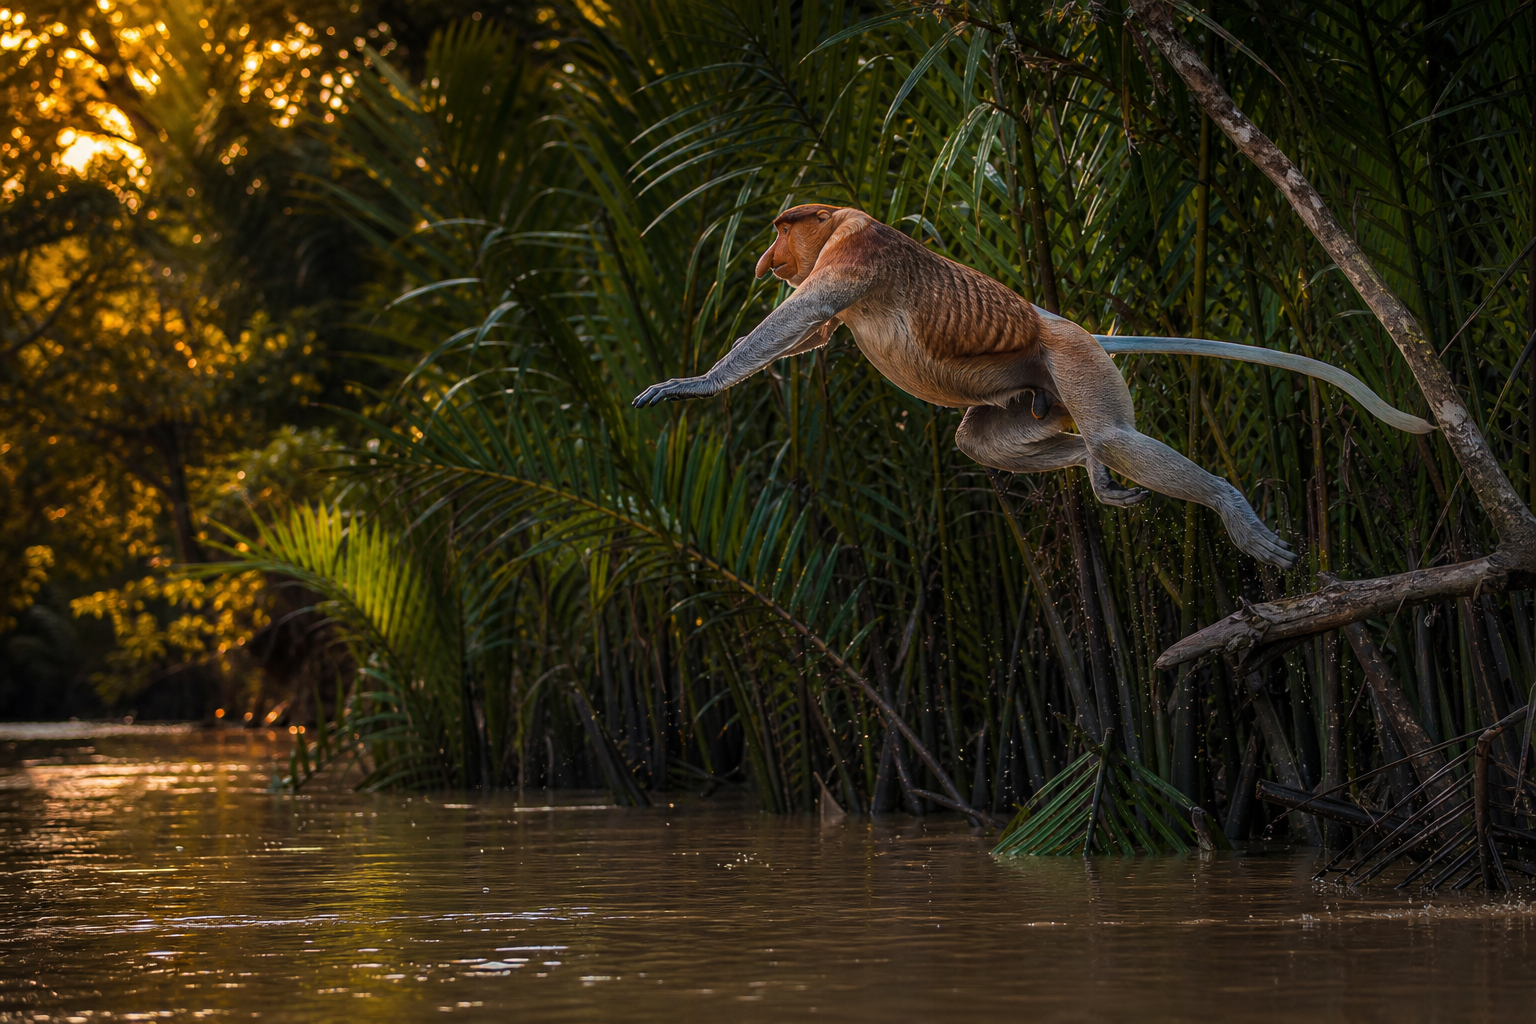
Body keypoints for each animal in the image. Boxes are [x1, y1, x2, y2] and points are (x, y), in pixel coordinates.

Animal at [633, 205, 1435, 569]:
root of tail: (1060, 321)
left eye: (781, 228)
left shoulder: (856, 251)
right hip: (1031, 390)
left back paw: (1224, 508)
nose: (764, 260)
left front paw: (688, 384)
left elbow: (797, 318)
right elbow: (808, 334)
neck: (836, 225)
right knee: (984, 441)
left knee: (1112, 431)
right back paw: (1094, 473)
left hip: (1072, 357)